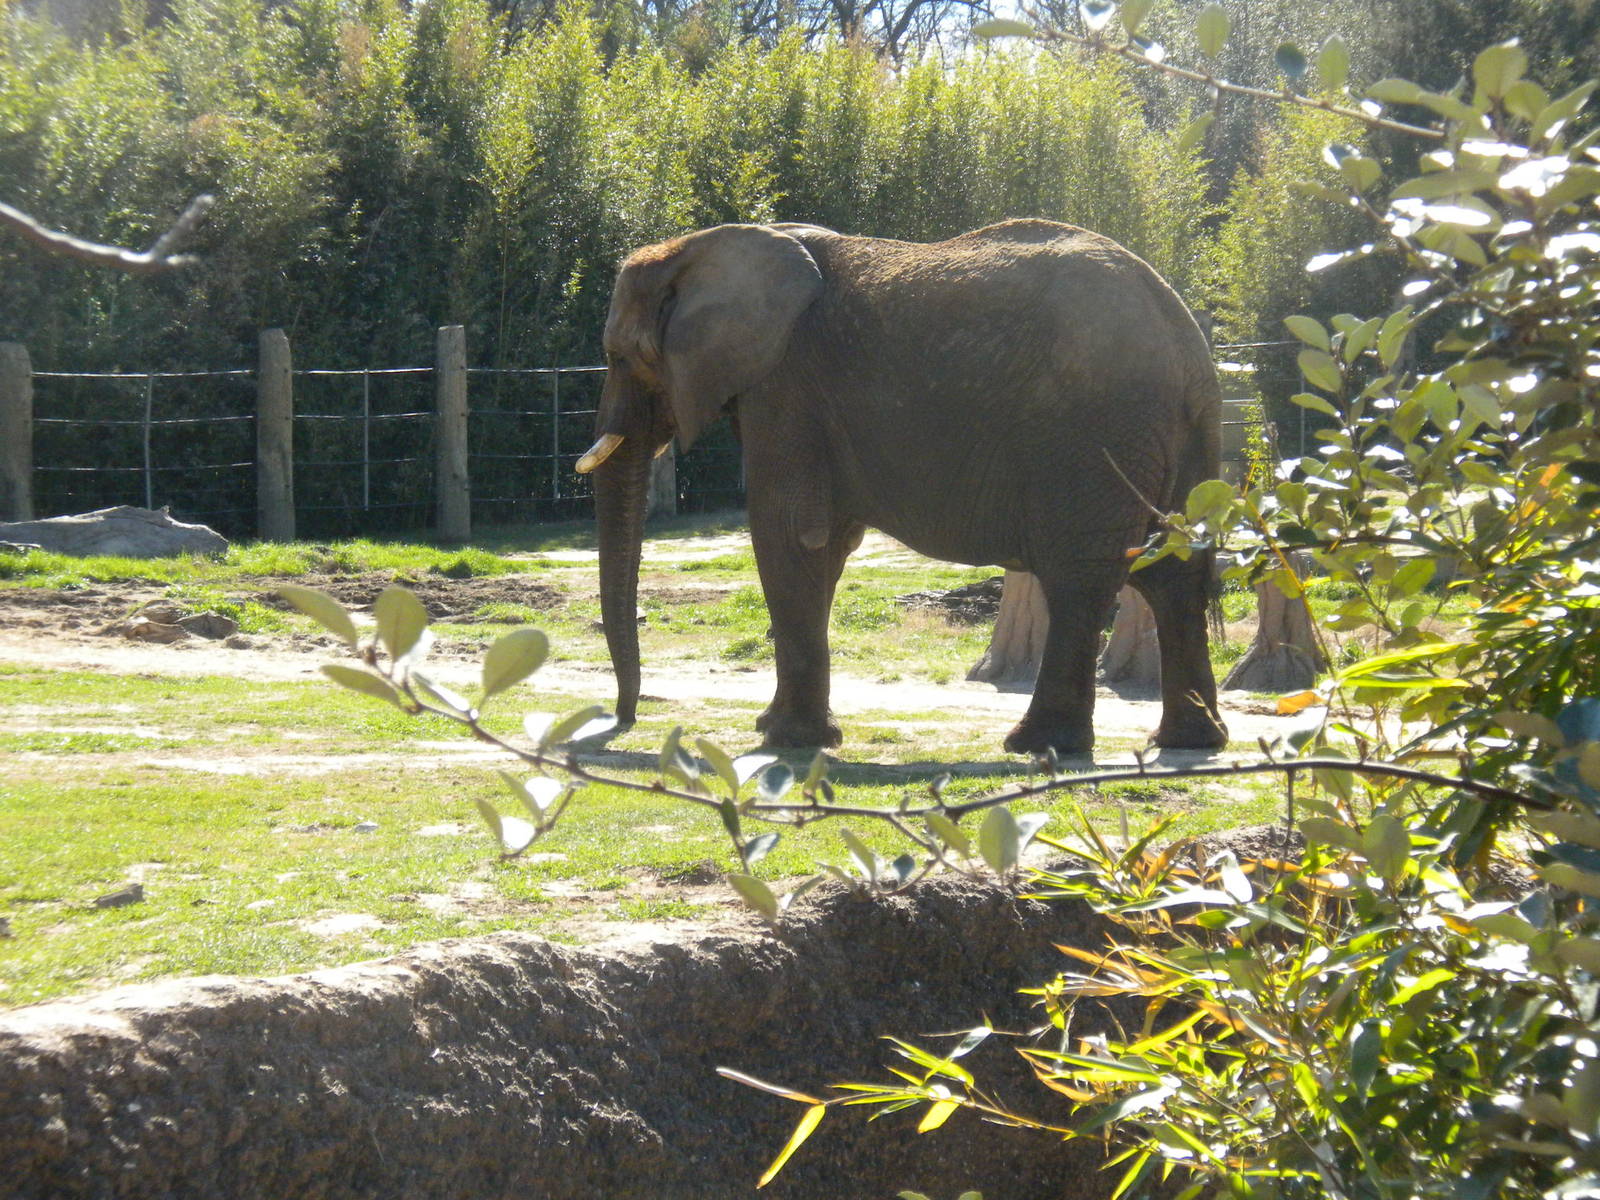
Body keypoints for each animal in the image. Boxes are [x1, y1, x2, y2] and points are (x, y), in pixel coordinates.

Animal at [576, 219, 1228, 756]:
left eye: (621, 355)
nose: (624, 719)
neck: (702, 246)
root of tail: (1185, 337)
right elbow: (827, 544)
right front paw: (782, 730)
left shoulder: (786, 386)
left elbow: (790, 534)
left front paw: (788, 740)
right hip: (1174, 438)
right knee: (1170, 573)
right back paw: (1189, 741)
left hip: (1092, 437)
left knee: (1080, 577)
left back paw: (1037, 744)